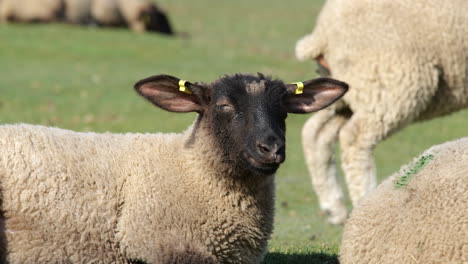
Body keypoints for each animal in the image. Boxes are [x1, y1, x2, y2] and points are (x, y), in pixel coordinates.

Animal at [296, 0, 468, 224]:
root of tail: (324, 31)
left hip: (341, 90)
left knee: (315, 132)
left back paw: (334, 207)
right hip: (387, 80)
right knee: (354, 139)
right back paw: (363, 201)